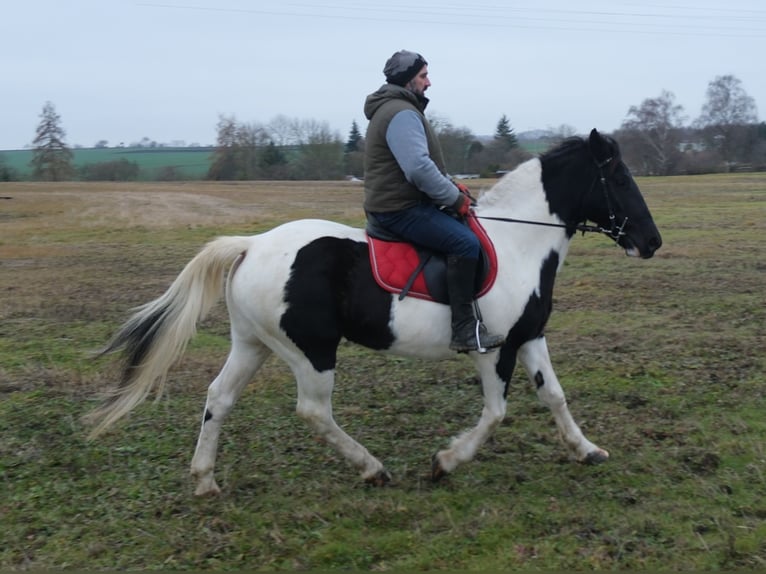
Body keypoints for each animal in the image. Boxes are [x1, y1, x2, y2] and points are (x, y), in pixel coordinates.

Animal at [87, 129, 662, 496]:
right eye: (620, 180)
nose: (651, 242)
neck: (518, 241)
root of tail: (251, 245)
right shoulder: (491, 349)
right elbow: (496, 412)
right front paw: (445, 462)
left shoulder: (529, 338)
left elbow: (554, 396)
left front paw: (587, 450)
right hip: (311, 351)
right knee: (313, 411)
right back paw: (373, 469)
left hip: (252, 345)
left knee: (218, 398)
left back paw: (205, 480)